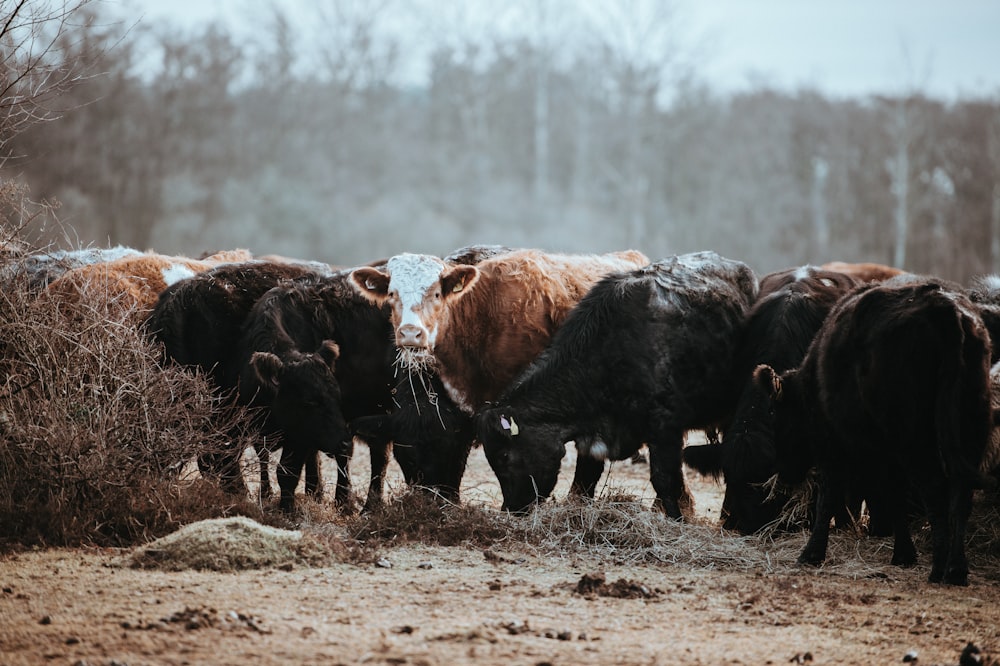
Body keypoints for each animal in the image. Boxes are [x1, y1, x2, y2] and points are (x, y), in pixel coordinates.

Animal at [472, 252, 752, 516]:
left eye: (504, 456)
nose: (510, 508)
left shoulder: (664, 430)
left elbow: (665, 481)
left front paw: (676, 520)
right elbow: (584, 480)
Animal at [748, 278, 988, 584]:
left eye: (774, 413)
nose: (784, 473)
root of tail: (943, 306)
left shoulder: (833, 445)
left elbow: (831, 497)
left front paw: (811, 553)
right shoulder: (884, 453)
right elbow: (893, 495)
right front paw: (903, 554)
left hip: (914, 437)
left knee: (935, 491)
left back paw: (938, 569)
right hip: (969, 429)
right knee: (961, 494)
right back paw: (956, 569)